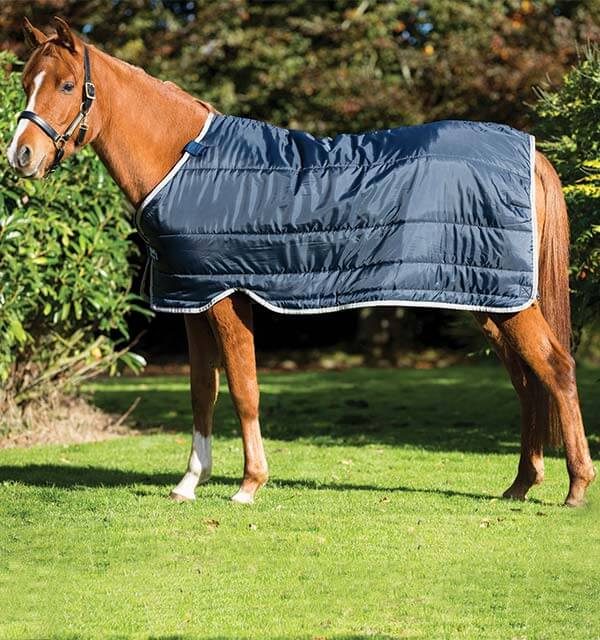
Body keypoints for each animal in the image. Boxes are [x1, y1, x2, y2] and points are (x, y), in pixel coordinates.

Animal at [7, 17, 595, 506]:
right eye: (26, 81)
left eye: (66, 86)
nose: (21, 156)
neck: (184, 160)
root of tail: (530, 153)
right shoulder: (193, 298)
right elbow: (202, 393)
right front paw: (189, 483)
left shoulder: (226, 297)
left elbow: (244, 389)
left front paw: (249, 485)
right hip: (487, 298)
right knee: (528, 380)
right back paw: (520, 485)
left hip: (507, 302)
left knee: (557, 369)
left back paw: (575, 488)